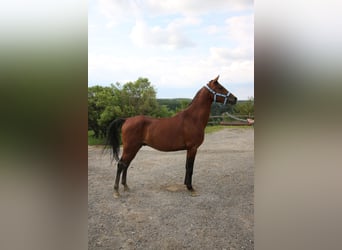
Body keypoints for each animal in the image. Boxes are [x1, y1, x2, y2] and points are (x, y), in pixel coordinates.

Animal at [105, 74, 236, 197]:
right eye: (220, 87)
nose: (235, 99)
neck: (193, 119)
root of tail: (126, 120)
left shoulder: (189, 149)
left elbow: (187, 167)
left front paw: (186, 185)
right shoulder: (193, 148)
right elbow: (190, 168)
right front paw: (191, 188)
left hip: (134, 148)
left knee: (126, 165)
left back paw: (126, 186)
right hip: (130, 148)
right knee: (121, 164)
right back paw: (116, 191)